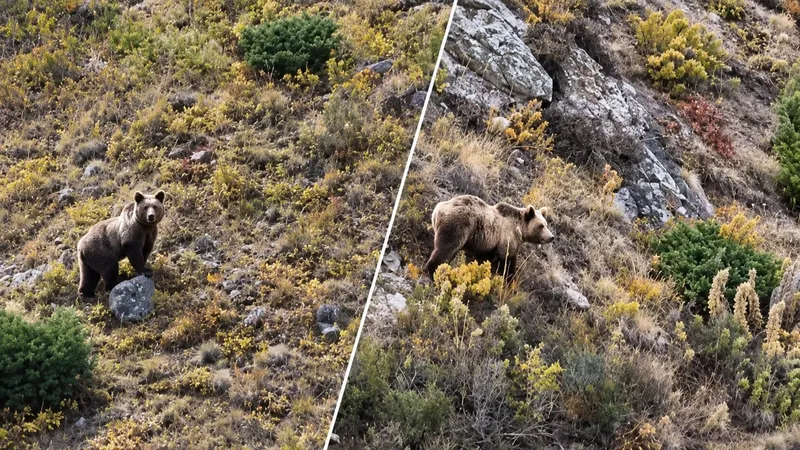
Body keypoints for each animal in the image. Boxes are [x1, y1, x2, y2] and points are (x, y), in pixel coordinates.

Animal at [424, 195, 554, 281]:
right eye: (541, 226)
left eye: (546, 224)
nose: (551, 237)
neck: (520, 231)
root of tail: (438, 208)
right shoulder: (507, 238)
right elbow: (507, 261)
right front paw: (509, 279)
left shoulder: (487, 245)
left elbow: (482, 259)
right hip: (457, 224)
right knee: (447, 248)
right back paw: (433, 271)